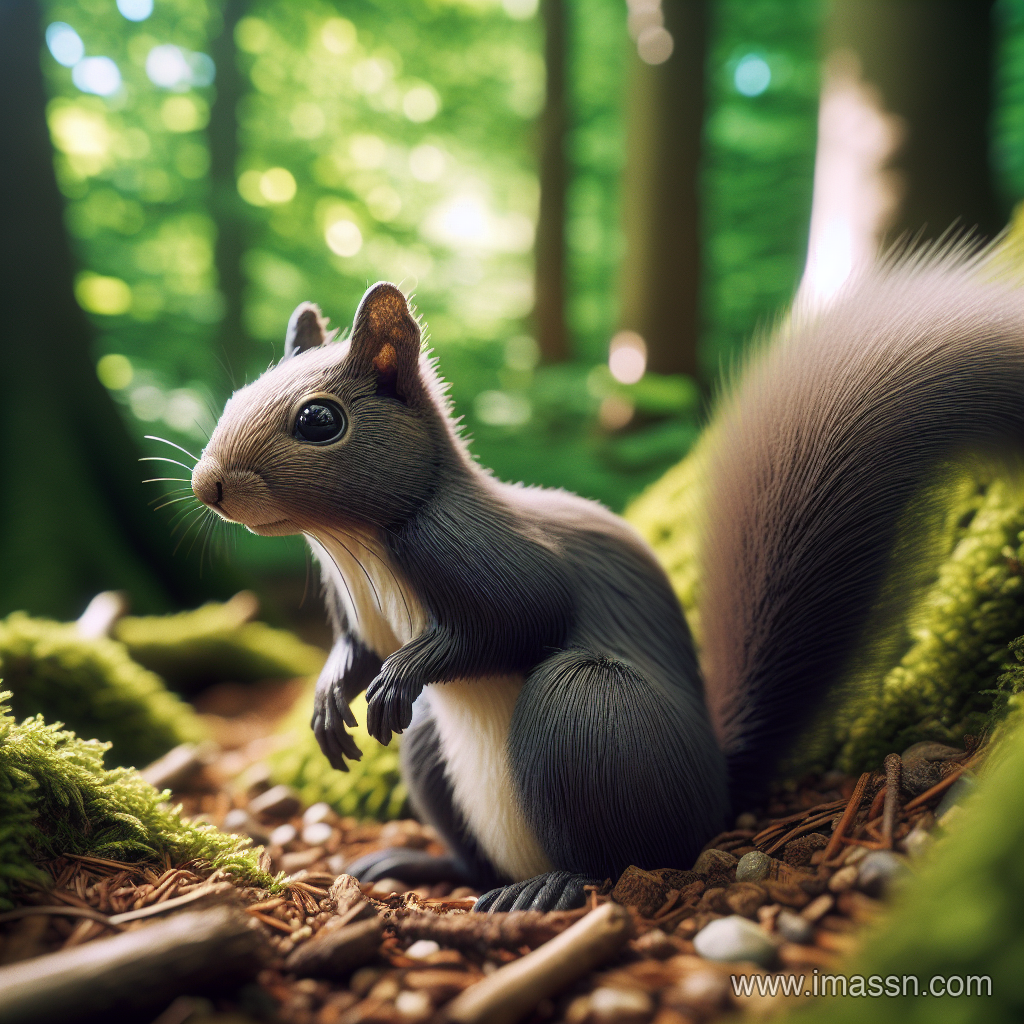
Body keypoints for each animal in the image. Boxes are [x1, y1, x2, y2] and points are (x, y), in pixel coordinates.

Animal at [191, 242, 1023, 912]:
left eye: (319, 420)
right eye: (235, 397)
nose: (209, 485)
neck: (356, 545)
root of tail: (716, 792)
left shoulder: (487, 551)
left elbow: (517, 620)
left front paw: (404, 672)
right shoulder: (353, 605)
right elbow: (355, 650)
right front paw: (331, 697)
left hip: (588, 713)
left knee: (618, 853)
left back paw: (553, 885)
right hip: (436, 751)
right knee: (470, 845)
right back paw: (424, 866)